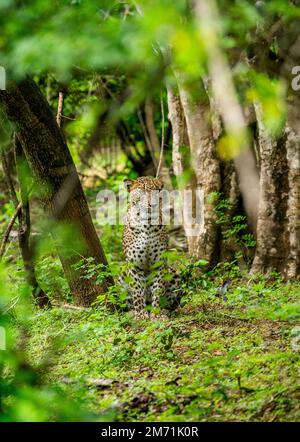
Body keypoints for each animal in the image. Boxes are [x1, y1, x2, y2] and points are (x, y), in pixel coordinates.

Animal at [121, 175, 180, 318]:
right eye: (143, 190)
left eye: (158, 190)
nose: (153, 204)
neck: (146, 224)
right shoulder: (133, 264)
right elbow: (137, 291)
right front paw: (141, 315)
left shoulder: (159, 263)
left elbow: (158, 290)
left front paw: (156, 315)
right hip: (122, 272)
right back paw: (132, 313)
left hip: (173, 272)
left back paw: (165, 311)